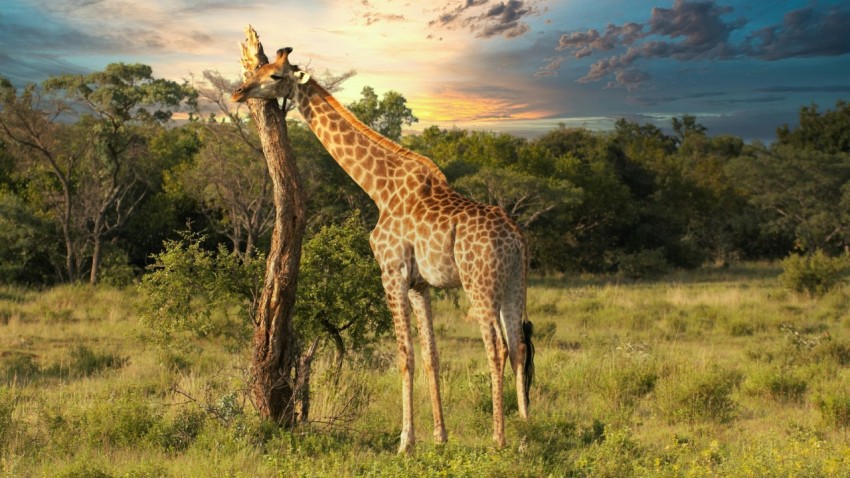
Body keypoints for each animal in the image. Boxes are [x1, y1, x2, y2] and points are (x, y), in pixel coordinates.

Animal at [232, 47, 534, 453]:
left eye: (275, 76)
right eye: (259, 69)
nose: (239, 91)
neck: (378, 187)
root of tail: (516, 236)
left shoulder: (392, 272)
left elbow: (404, 355)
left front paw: (405, 441)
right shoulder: (420, 284)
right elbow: (431, 355)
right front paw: (439, 437)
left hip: (480, 283)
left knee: (497, 348)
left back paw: (498, 439)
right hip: (516, 283)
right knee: (518, 347)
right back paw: (528, 431)